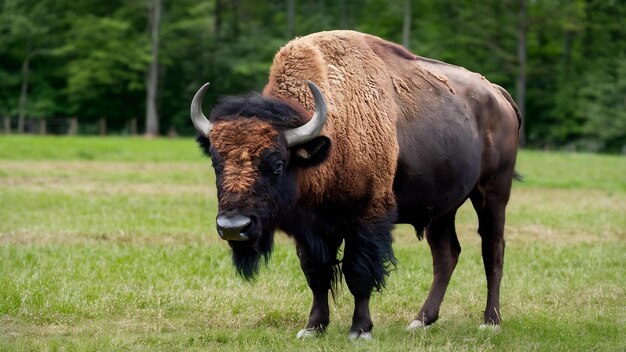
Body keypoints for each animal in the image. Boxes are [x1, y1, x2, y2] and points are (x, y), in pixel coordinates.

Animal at [189, 30, 516, 338]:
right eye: (216, 163)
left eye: (277, 164)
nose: (234, 227)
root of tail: (497, 94)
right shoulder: (309, 228)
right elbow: (316, 274)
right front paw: (313, 327)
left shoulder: (366, 219)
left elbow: (357, 272)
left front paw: (360, 329)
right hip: (441, 210)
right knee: (446, 255)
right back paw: (420, 321)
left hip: (492, 194)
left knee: (493, 250)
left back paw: (490, 322)